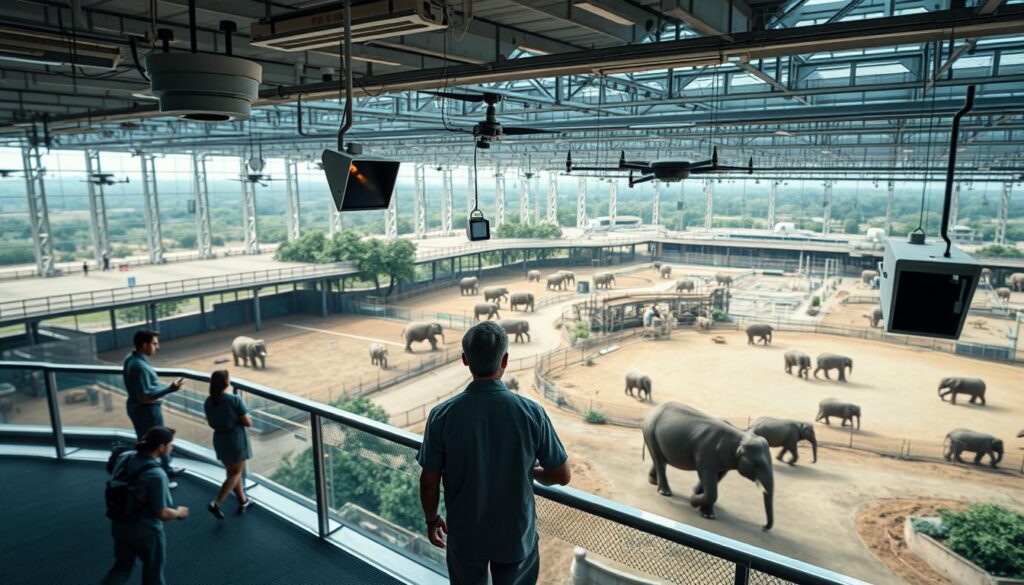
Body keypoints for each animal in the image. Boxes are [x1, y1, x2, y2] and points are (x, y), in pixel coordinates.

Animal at [643, 403, 770, 532]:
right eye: (756, 464)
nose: (763, 527)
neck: (740, 436)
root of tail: (653, 411)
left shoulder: (725, 460)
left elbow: (718, 476)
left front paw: (699, 498)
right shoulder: (707, 454)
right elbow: (708, 479)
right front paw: (695, 502)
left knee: (659, 460)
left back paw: (653, 481)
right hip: (650, 432)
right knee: (659, 461)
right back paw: (665, 493)